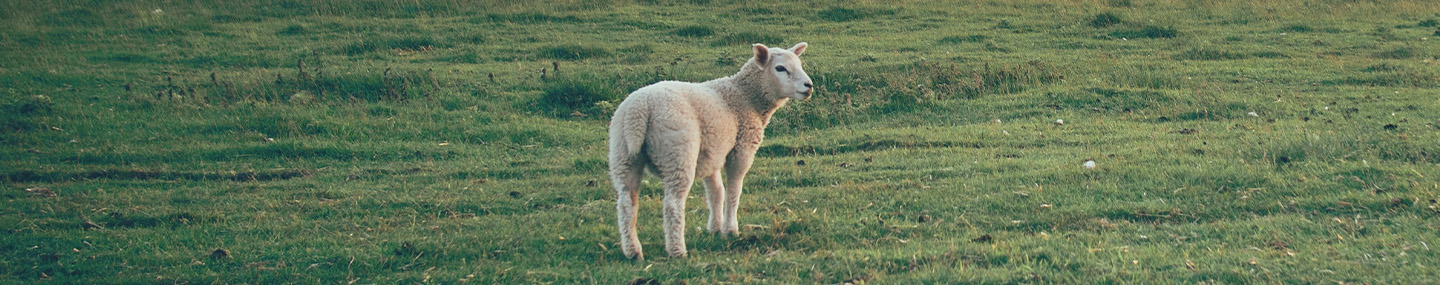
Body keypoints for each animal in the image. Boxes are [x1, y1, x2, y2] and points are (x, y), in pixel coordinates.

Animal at [604, 41, 812, 260]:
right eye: (780, 68)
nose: (809, 86)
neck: (746, 97)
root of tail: (640, 110)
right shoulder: (741, 149)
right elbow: (733, 191)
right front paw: (730, 230)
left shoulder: (711, 152)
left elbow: (716, 192)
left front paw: (714, 228)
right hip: (678, 152)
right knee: (672, 203)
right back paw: (677, 250)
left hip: (623, 154)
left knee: (626, 202)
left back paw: (633, 251)